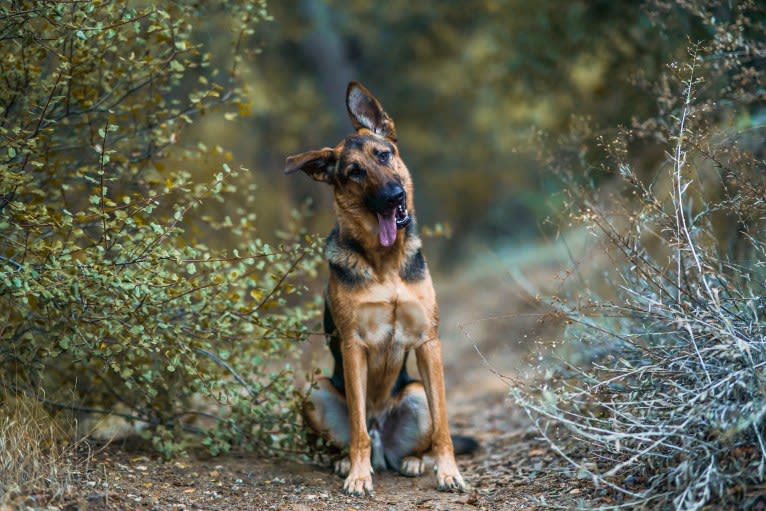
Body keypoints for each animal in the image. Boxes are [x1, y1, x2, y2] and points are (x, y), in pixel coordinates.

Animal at [284, 83, 476, 496]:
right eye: (354, 172)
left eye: (384, 155)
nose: (392, 196)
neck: (384, 263)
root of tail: (383, 439)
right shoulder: (353, 345)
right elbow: (357, 427)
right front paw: (358, 475)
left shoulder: (428, 341)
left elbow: (444, 426)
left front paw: (449, 472)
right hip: (315, 391)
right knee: (354, 436)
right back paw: (346, 462)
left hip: (415, 392)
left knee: (417, 439)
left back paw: (413, 461)